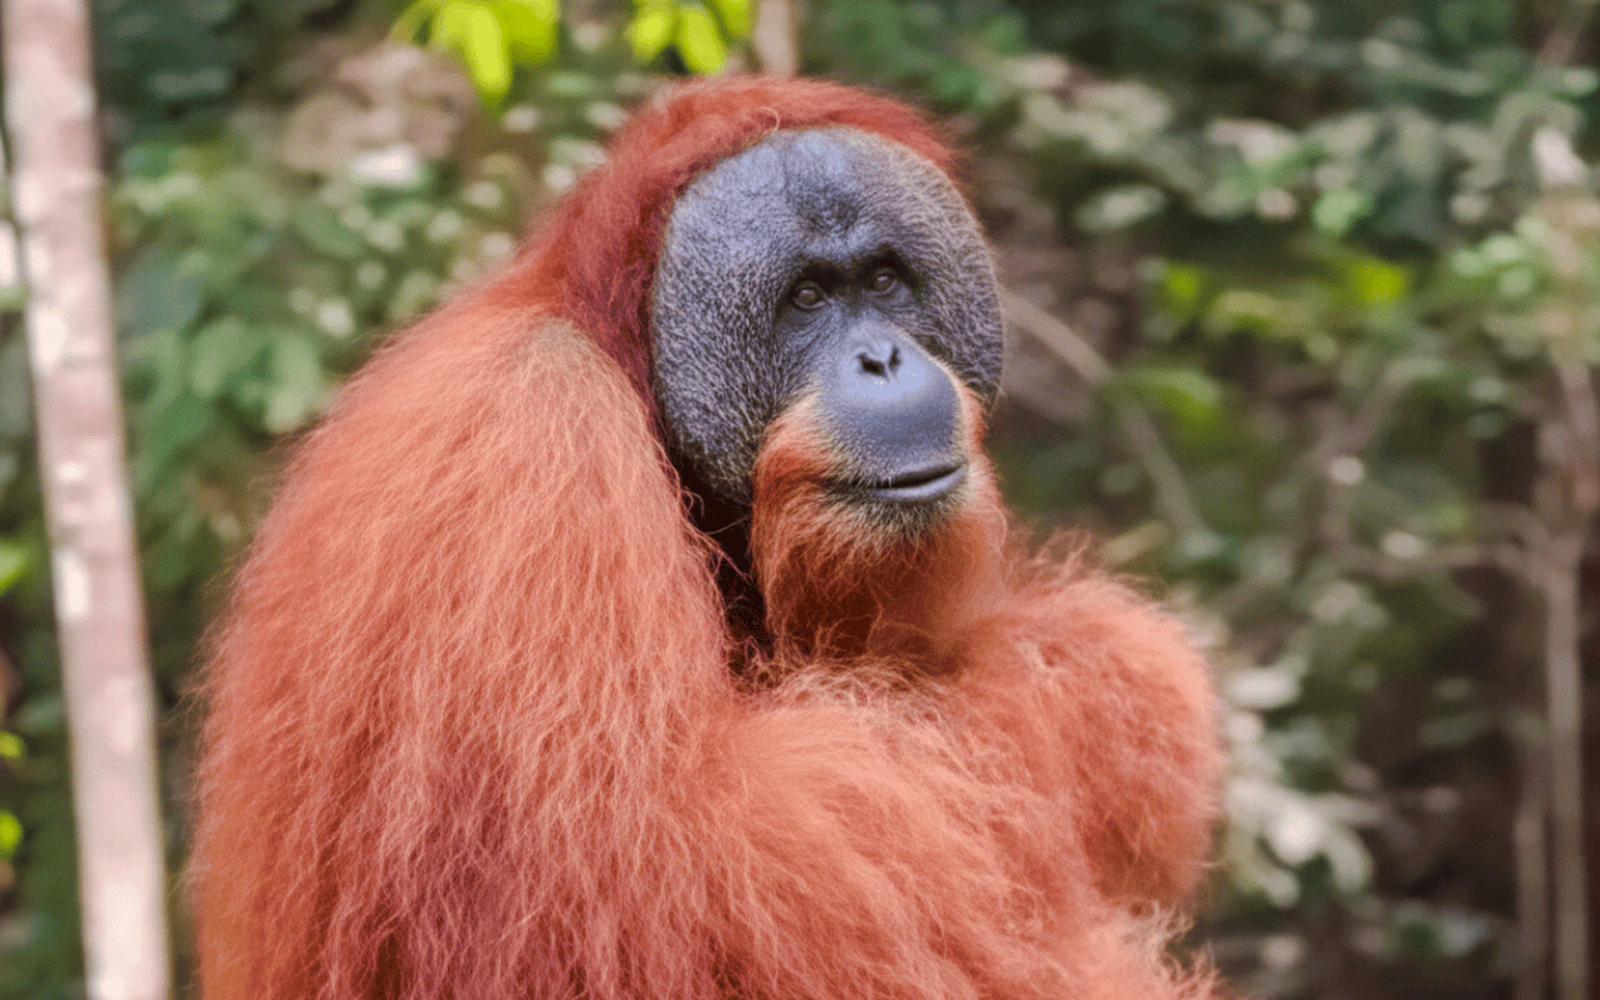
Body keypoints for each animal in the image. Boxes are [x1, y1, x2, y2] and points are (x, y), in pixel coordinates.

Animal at [191, 76, 1223, 1000]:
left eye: (885, 280)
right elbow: (674, 876)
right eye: (807, 298)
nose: (884, 360)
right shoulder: (526, 457)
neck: (632, 368)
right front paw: (1101, 691)